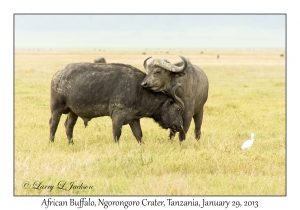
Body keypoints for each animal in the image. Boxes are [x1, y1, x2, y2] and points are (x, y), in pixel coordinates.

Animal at [49, 62, 183, 144]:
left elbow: (139, 134)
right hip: (57, 108)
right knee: (53, 124)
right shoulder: (117, 116)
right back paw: (51, 142)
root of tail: (57, 75)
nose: (180, 126)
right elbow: (117, 133)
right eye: (178, 109)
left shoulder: (134, 119)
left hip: (73, 112)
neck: (139, 90)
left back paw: (71, 143)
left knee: (68, 126)